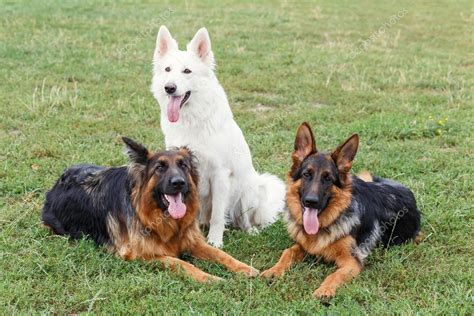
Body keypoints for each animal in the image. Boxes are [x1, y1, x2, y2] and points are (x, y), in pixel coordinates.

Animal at [43, 138, 260, 282]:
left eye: (183, 165)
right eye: (160, 168)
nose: (179, 183)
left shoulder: (193, 241)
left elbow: (221, 254)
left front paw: (246, 268)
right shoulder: (140, 254)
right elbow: (181, 263)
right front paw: (210, 278)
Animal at [262, 123, 420, 298]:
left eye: (328, 178)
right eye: (306, 174)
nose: (311, 201)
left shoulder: (352, 262)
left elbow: (334, 274)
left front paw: (324, 290)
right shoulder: (303, 245)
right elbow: (287, 252)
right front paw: (273, 270)